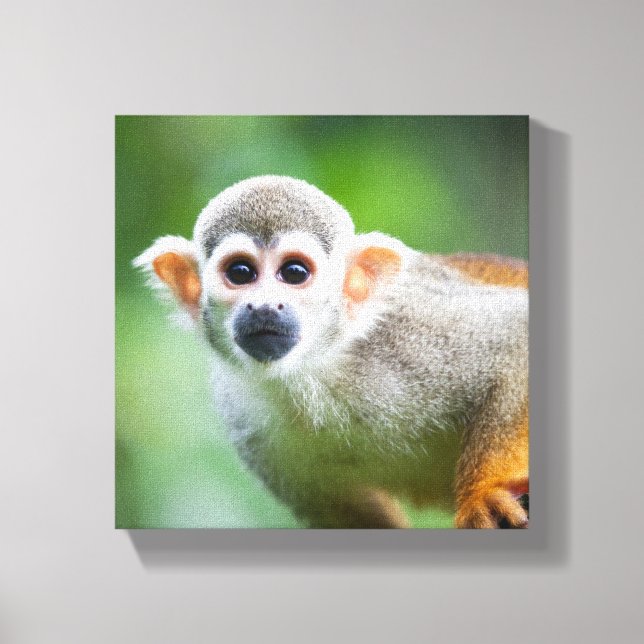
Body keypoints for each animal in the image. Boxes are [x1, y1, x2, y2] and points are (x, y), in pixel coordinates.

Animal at [134, 175, 529, 529]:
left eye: (294, 272)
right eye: (241, 272)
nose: (263, 307)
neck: (316, 370)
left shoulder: (409, 333)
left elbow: (516, 336)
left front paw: (483, 494)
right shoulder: (243, 414)